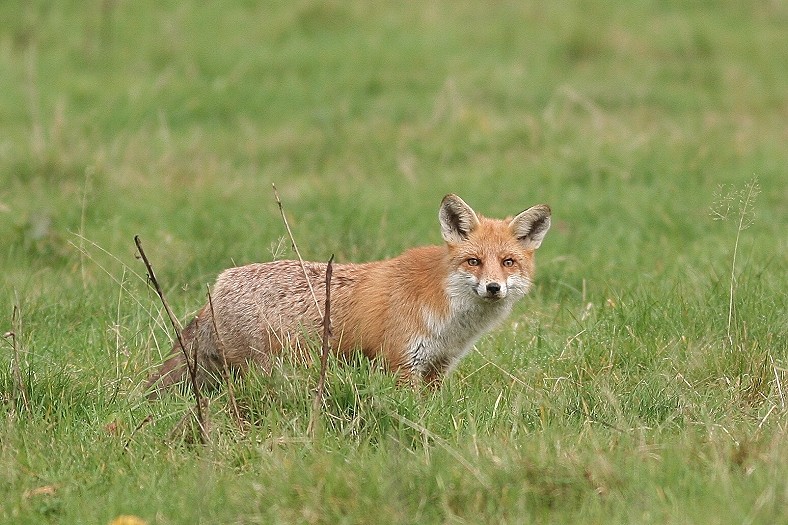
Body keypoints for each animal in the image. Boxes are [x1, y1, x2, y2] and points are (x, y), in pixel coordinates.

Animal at [145, 193, 552, 392]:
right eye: (473, 261)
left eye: (508, 262)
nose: (493, 287)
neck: (450, 319)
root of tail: (216, 287)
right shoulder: (401, 364)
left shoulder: (438, 367)